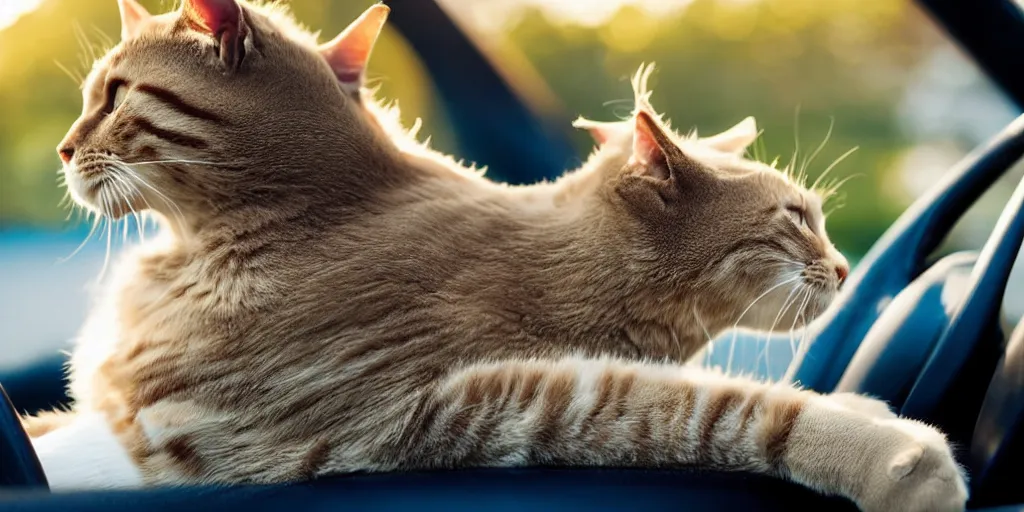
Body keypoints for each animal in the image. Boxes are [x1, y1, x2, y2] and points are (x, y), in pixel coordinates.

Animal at [25, 2, 966, 509]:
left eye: (113, 96)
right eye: (795, 220)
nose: (845, 269)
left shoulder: (420, 405)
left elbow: (710, 403)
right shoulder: (411, 409)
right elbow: (705, 408)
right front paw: (902, 455)